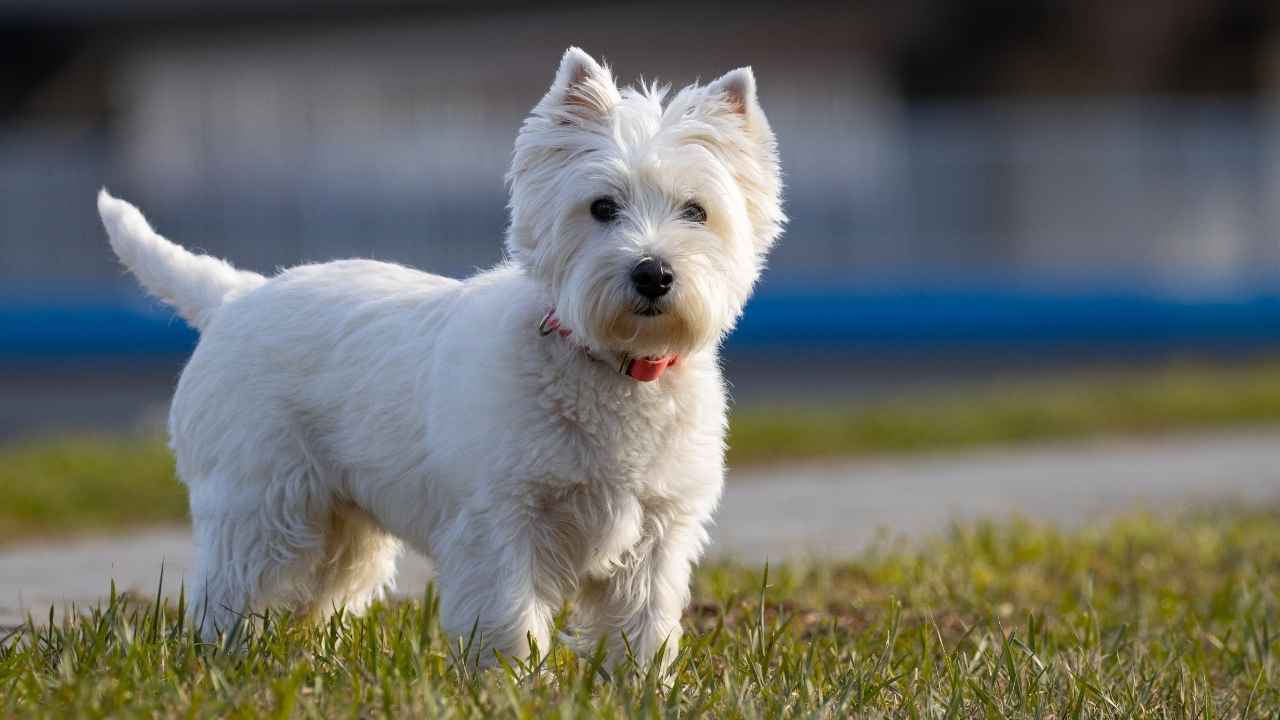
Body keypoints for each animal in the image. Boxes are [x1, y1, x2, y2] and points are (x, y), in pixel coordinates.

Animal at [94, 49, 783, 666]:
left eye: (696, 211)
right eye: (601, 207)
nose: (653, 273)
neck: (611, 367)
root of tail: (235, 296)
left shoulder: (658, 533)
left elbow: (642, 626)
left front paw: (639, 687)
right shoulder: (499, 522)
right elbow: (508, 616)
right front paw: (511, 685)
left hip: (346, 529)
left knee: (319, 599)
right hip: (261, 502)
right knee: (229, 593)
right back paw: (223, 660)